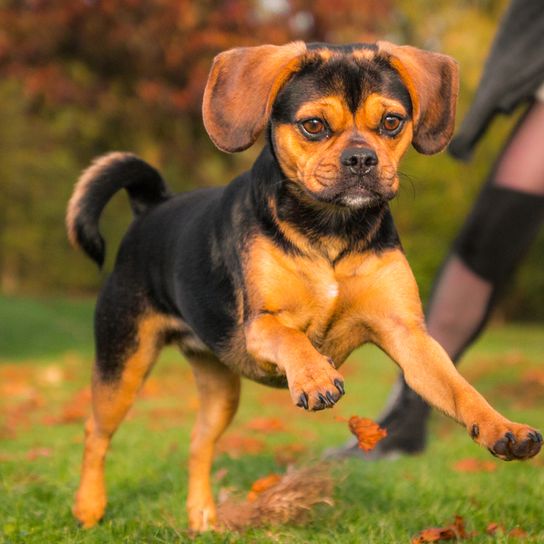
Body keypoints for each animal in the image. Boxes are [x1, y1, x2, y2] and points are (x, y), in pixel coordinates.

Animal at [66, 41, 540, 532]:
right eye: (314, 125)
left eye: (391, 122)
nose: (361, 159)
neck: (330, 229)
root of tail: (151, 208)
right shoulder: (260, 327)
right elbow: (292, 338)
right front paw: (315, 377)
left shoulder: (408, 335)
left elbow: (461, 389)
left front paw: (503, 428)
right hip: (124, 363)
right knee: (95, 432)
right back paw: (89, 507)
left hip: (220, 389)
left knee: (199, 445)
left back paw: (202, 517)